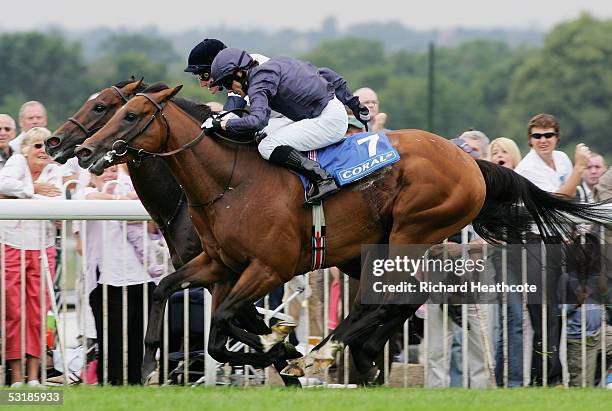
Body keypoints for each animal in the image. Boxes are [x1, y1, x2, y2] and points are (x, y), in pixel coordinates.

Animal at [74, 84, 608, 386]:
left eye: (122, 113)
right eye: (107, 108)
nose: (80, 150)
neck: (229, 182)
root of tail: (470, 161)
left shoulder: (268, 267)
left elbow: (226, 322)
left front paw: (281, 346)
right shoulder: (218, 264)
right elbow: (175, 300)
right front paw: (148, 366)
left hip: (413, 227)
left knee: (400, 293)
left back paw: (328, 352)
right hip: (372, 248)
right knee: (402, 297)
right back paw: (359, 355)